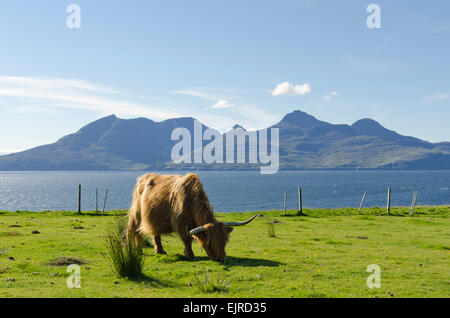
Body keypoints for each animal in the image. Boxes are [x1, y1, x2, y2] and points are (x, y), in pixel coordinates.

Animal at [125, 173, 256, 262]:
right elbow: (187, 240)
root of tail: (142, 177)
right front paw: (190, 255)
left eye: (225, 240)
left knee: (155, 233)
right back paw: (133, 247)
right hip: (137, 212)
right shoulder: (180, 223)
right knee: (132, 227)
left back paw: (160, 251)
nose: (221, 258)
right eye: (210, 241)